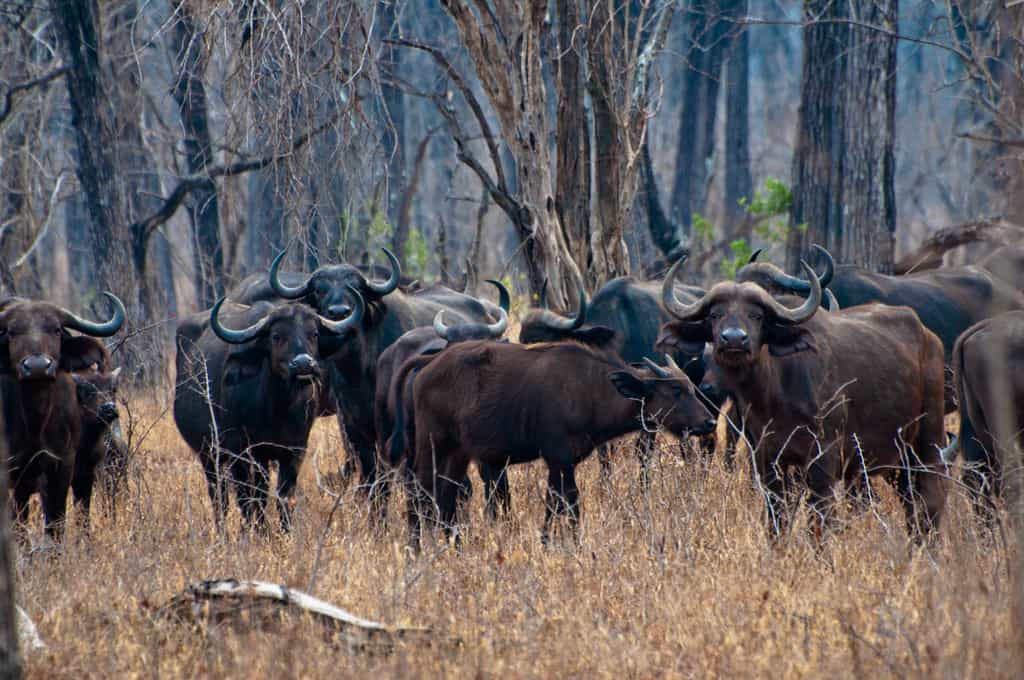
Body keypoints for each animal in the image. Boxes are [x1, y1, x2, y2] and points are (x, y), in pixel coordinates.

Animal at [173, 293, 363, 531]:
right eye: (276, 336)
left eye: (314, 333)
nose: (303, 364)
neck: (277, 410)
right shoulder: (241, 452)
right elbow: (248, 498)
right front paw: (255, 532)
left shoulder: (294, 450)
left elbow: (283, 497)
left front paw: (284, 532)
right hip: (208, 454)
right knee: (220, 497)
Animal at [400, 340, 717, 549]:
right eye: (675, 390)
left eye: (690, 386)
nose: (710, 422)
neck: (589, 389)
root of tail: (428, 365)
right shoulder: (558, 457)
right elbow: (569, 504)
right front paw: (568, 544)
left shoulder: (564, 461)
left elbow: (556, 503)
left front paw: (549, 542)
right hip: (432, 445)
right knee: (418, 494)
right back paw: (415, 550)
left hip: (458, 453)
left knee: (445, 498)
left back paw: (455, 547)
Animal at [659, 258, 948, 542]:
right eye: (715, 314)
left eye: (756, 315)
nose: (733, 339)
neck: (774, 396)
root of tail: (930, 338)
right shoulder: (768, 461)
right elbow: (776, 520)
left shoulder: (823, 462)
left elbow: (818, 522)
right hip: (898, 459)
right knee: (911, 504)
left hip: (928, 440)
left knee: (930, 500)